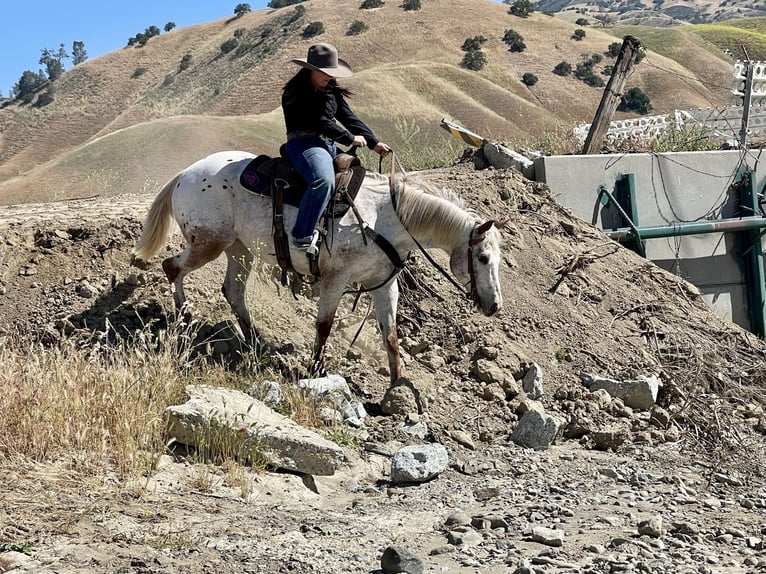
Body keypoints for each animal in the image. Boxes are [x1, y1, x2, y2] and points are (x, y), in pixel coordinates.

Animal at [134, 151, 504, 384]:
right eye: (483, 258)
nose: (495, 306)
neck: (384, 218)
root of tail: (183, 175)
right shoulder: (335, 278)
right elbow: (324, 326)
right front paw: (315, 370)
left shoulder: (384, 284)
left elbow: (391, 334)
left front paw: (397, 387)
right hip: (209, 244)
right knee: (171, 267)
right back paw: (183, 320)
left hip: (240, 250)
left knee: (233, 291)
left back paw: (254, 341)